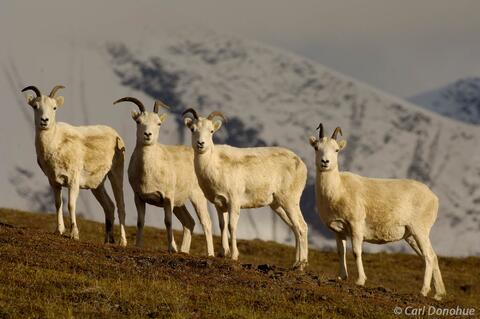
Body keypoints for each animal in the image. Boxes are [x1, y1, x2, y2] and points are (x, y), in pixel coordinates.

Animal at [21, 84, 126, 245]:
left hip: (116, 175)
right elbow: (58, 203)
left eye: (54, 107)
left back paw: (122, 242)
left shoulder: (73, 181)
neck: (55, 145)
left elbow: (71, 205)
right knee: (109, 206)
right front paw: (59, 230)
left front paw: (74, 235)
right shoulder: (54, 182)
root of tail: (117, 136)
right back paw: (108, 240)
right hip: (97, 186)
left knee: (120, 206)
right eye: (35, 106)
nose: (44, 121)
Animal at [113, 97, 214, 258]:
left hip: (197, 197)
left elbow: (168, 222)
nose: (148, 135)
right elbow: (140, 222)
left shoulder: (167, 199)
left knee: (206, 222)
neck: (149, 171)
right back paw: (183, 251)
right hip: (179, 204)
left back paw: (210, 254)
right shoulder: (139, 198)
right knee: (189, 222)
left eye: (158, 123)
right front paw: (138, 245)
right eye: (139, 121)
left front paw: (171, 248)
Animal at [182, 108, 310, 270]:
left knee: (302, 227)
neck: (215, 165)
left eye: (211, 131)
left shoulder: (234, 203)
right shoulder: (220, 205)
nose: (201, 144)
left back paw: (301, 265)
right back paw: (295, 264)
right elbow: (222, 226)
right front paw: (224, 253)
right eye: (193, 129)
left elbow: (231, 226)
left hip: (289, 201)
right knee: (295, 228)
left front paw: (234, 256)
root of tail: (301, 164)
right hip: (277, 205)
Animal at [308, 124, 446, 302]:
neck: (338, 190)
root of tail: (434, 197)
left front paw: (360, 281)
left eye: (336, 149)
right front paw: (341, 277)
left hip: (419, 231)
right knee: (432, 256)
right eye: (316, 148)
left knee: (428, 257)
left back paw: (423, 291)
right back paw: (438, 294)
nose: (325, 162)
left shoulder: (356, 226)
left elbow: (356, 252)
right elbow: (341, 252)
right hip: (411, 236)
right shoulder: (338, 231)